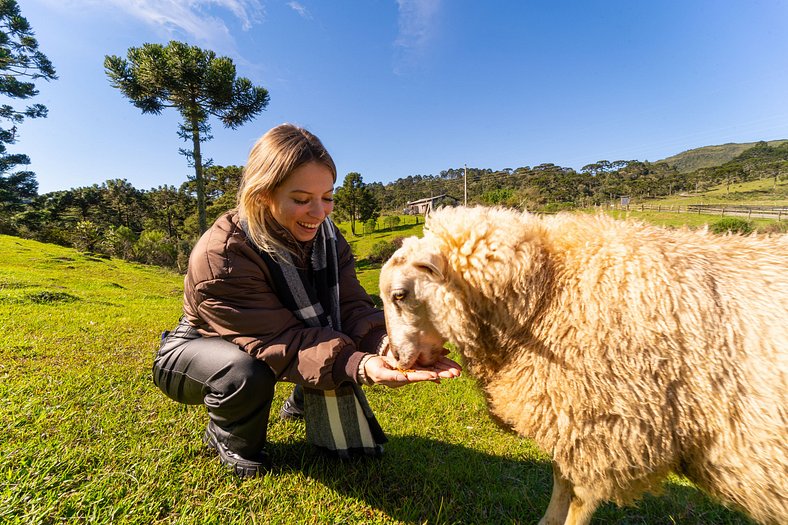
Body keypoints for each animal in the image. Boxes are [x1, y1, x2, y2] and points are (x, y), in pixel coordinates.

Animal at [380, 205, 788, 524]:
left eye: (400, 294)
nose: (395, 358)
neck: (548, 291)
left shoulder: (604, 428)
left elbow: (575, 498)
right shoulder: (572, 417)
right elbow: (561, 482)